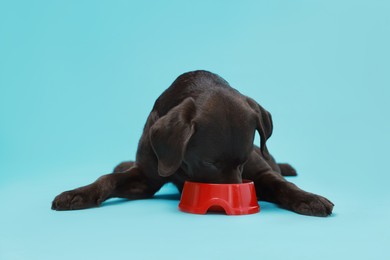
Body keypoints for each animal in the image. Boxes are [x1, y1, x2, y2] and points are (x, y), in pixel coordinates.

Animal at [50, 70, 334, 216]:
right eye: (208, 163)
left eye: (242, 161)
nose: (227, 207)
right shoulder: (145, 178)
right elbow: (107, 179)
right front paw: (78, 194)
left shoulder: (258, 170)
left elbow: (280, 184)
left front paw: (309, 199)